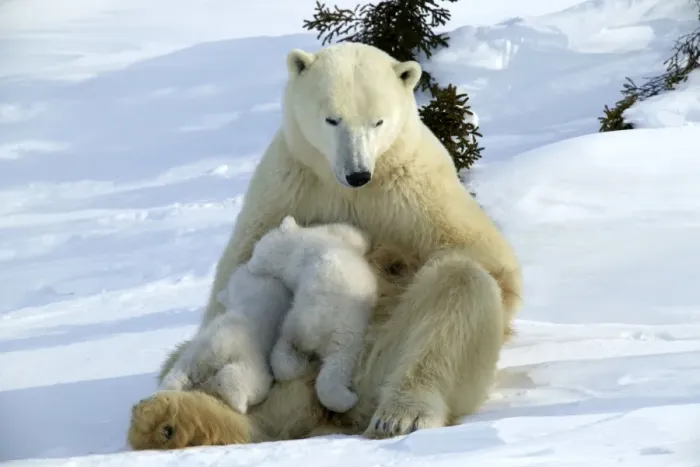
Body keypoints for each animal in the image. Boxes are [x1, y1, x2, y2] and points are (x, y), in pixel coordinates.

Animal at [247, 214, 378, 413]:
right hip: (346, 330)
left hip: (293, 326)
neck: (291, 250)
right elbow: (352, 234)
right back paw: (348, 398)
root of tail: (311, 334)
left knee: (285, 356)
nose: (248, 261)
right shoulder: (332, 235)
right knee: (339, 364)